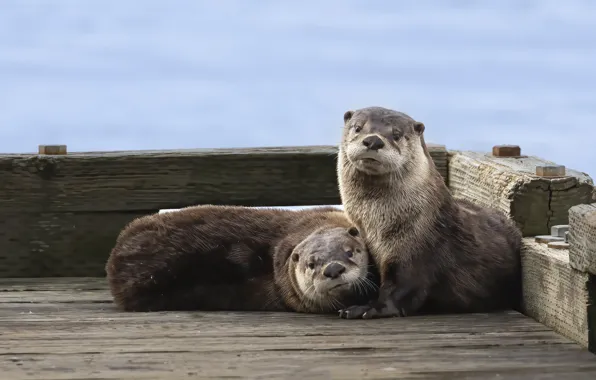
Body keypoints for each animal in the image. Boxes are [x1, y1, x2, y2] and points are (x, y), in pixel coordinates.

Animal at [336, 105, 520, 320]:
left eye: (396, 134)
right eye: (358, 127)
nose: (373, 140)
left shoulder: (416, 253)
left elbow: (399, 291)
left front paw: (366, 308)